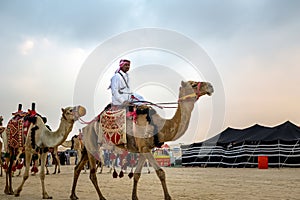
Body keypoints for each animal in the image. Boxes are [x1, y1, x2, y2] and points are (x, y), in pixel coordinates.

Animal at [70, 80, 213, 199]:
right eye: (193, 84)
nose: (210, 86)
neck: (158, 125)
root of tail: (85, 128)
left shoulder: (145, 149)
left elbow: (137, 175)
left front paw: (135, 197)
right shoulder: (144, 148)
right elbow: (161, 172)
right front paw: (168, 197)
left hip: (86, 149)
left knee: (77, 168)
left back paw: (73, 195)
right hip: (93, 147)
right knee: (92, 174)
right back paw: (102, 197)